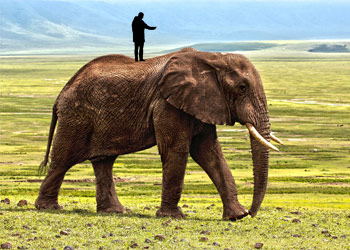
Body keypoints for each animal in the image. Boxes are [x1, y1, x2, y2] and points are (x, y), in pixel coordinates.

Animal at [34, 47, 282, 220]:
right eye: (242, 88)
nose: (252, 213)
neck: (212, 57)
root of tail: (61, 93)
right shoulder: (167, 104)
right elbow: (177, 151)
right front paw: (173, 217)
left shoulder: (200, 104)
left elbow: (209, 153)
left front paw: (236, 216)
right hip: (76, 117)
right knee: (63, 159)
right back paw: (48, 208)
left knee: (103, 162)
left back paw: (113, 211)